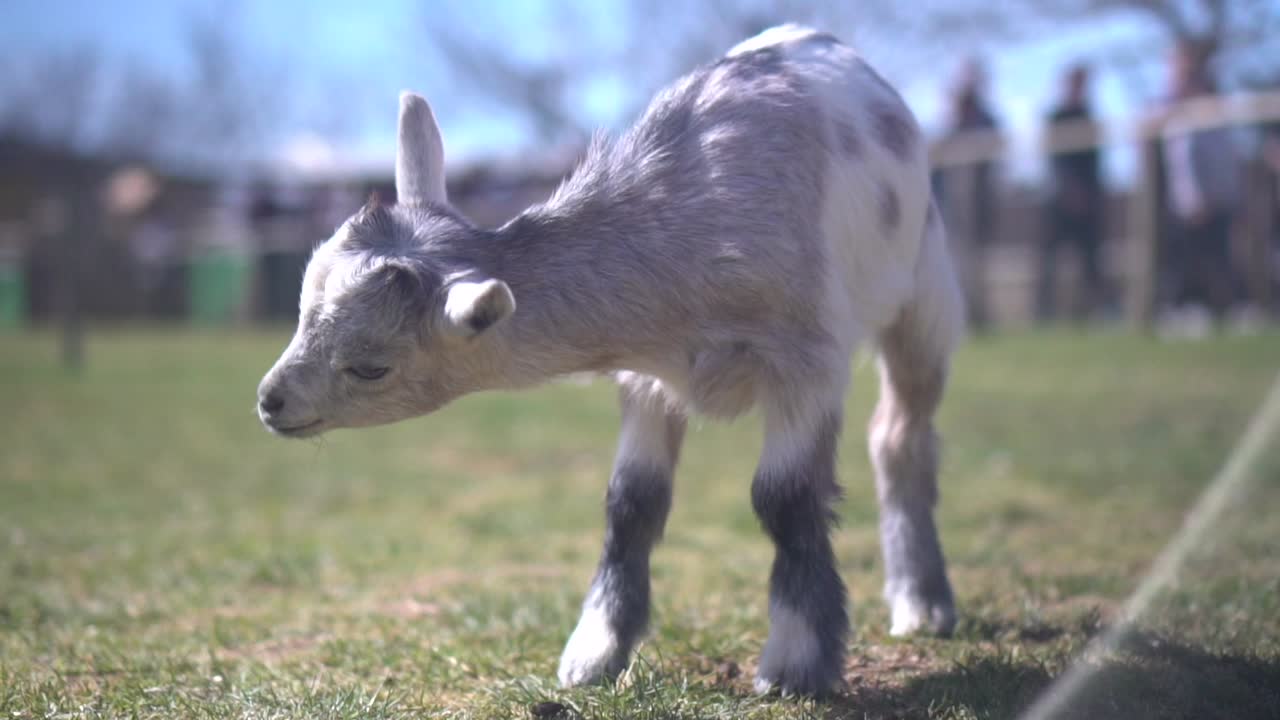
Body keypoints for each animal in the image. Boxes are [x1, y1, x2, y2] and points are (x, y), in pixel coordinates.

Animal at [257, 24, 964, 696]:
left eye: (371, 365)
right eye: (302, 309)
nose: (270, 401)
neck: (695, 227)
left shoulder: (808, 361)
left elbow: (784, 498)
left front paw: (795, 666)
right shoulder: (646, 375)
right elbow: (631, 500)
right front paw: (594, 654)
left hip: (926, 287)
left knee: (900, 431)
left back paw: (922, 605)